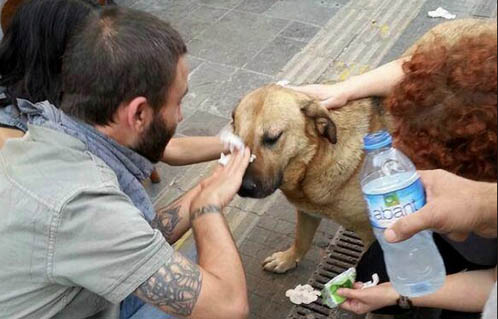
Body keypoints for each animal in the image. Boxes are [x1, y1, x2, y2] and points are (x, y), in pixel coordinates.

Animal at [231, 18, 496, 274]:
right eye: (237, 141)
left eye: (273, 138)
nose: (244, 188)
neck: (316, 161)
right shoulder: (306, 211)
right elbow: (302, 239)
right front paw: (288, 258)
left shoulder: (373, 234)